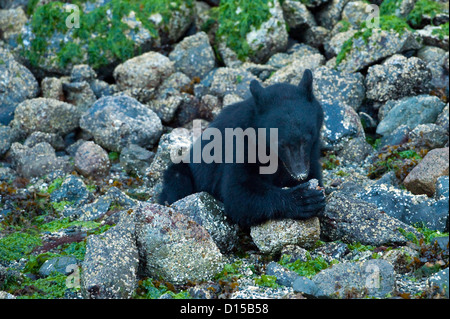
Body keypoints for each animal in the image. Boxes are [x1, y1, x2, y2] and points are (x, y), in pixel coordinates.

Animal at [160, 70, 326, 230]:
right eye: (281, 144)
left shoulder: (312, 153)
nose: (300, 174)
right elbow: (238, 193)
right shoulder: (240, 146)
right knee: (176, 180)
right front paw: (303, 199)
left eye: (306, 139)